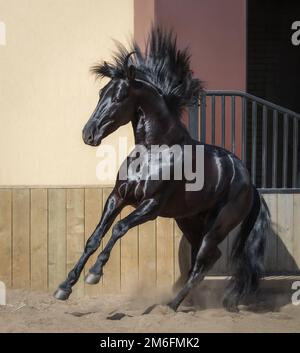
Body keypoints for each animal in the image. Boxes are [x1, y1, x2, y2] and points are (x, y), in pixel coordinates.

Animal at [54, 28, 272, 312]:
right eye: (101, 92)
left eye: (120, 96)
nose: (88, 134)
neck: (153, 152)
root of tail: (250, 183)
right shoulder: (118, 197)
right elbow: (94, 237)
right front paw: (64, 287)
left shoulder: (151, 206)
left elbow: (119, 228)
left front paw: (94, 274)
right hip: (189, 221)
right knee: (203, 258)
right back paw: (185, 300)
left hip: (217, 226)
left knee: (203, 261)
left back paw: (173, 304)